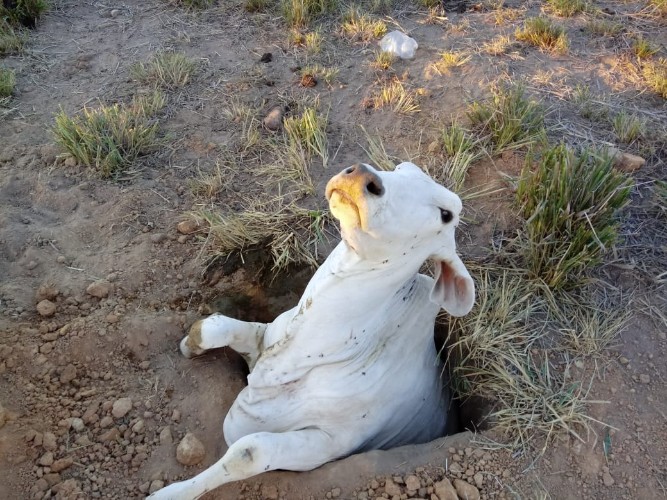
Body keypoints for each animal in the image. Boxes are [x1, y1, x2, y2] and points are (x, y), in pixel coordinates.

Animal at [148, 162, 475, 499]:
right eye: (399, 168)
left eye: (446, 214)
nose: (361, 176)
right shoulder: (267, 339)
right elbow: (211, 326)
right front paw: (188, 346)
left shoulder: (329, 443)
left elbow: (250, 452)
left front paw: (168, 494)